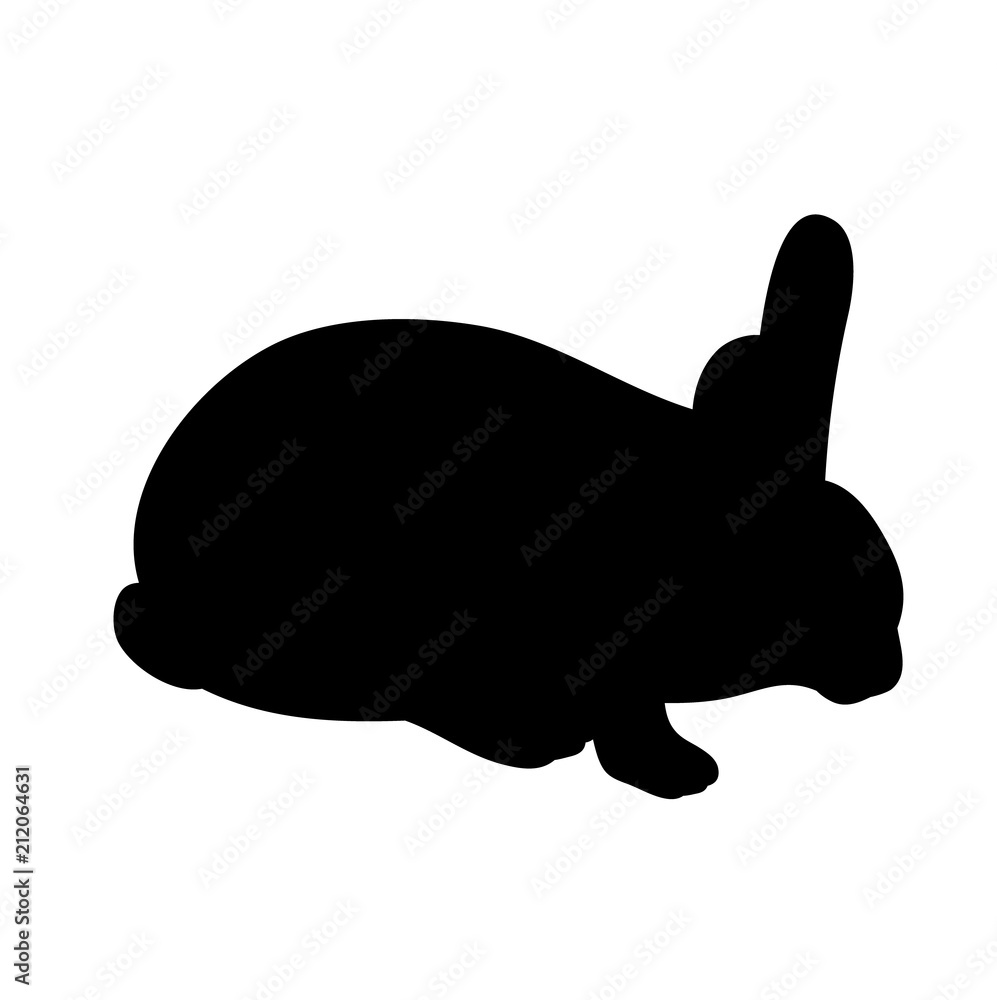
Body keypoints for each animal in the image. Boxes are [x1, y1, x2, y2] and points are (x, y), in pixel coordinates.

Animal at [113, 214, 902, 799]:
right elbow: (632, 713)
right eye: (819, 587)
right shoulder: (603, 644)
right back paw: (526, 736)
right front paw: (678, 773)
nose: (885, 675)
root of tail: (150, 567)